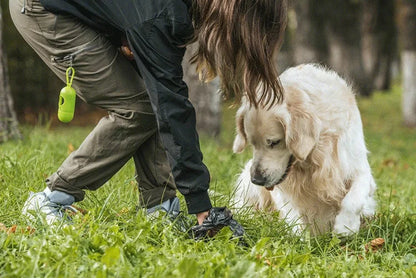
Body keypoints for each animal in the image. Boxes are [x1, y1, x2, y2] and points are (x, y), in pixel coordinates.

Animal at [234, 64, 376, 236]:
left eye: (274, 142)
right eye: (252, 144)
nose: (257, 180)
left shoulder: (357, 166)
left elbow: (354, 199)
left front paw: (345, 226)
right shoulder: (282, 187)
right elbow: (292, 213)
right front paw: (298, 238)